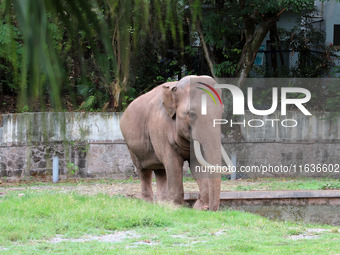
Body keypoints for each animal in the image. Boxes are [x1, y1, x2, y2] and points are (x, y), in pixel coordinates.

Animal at [119, 75, 223, 211]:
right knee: (143, 170)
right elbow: (173, 162)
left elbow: (195, 165)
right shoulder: (159, 127)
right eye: (191, 114)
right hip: (130, 144)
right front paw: (176, 208)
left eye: (222, 113)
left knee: (160, 170)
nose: (211, 210)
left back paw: (162, 204)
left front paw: (199, 208)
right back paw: (148, 203)